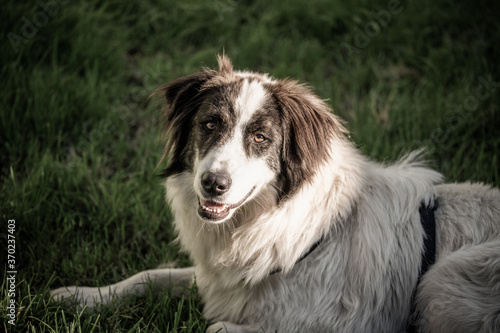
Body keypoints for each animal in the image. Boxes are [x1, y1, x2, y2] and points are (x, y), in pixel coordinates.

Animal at [50, 55, 500, 332]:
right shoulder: (222, 280)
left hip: (442, 280)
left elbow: (215, 326)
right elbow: (147, 276)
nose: (213, 184)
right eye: (210, 124)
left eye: (261, 137)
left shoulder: (341, 324)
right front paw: (80, 296)